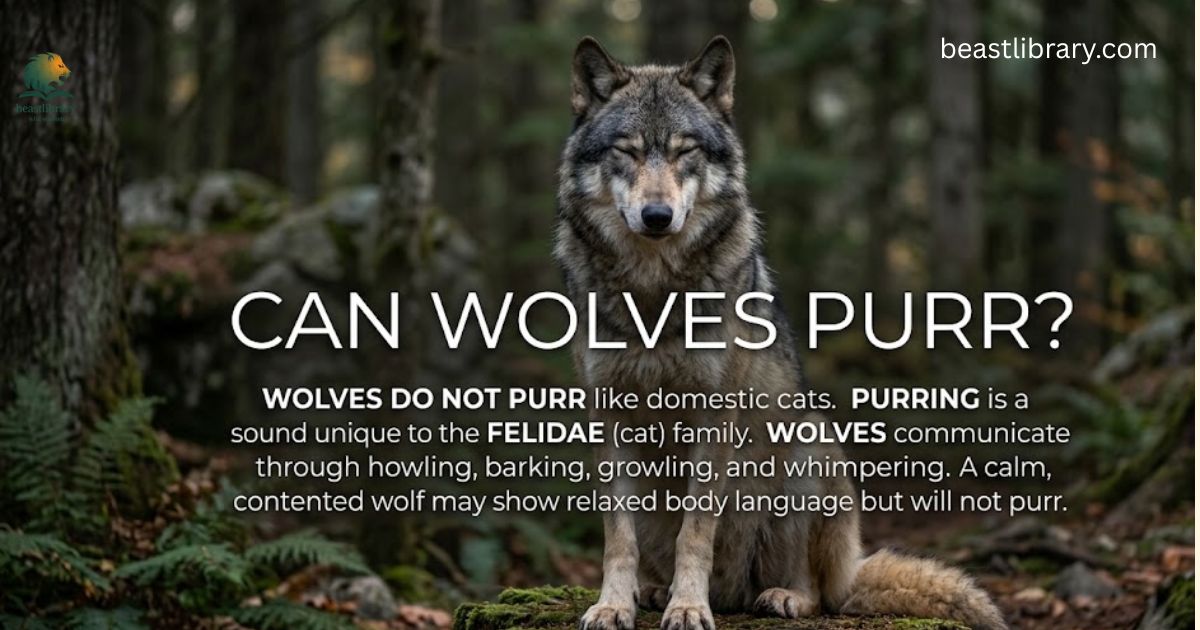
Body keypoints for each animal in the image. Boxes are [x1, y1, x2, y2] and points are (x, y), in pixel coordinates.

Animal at [553, 36, 1007, 630]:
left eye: (684, 151)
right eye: (626, 152)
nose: (657, 216)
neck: (652, 290)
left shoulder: (715, 412)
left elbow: (695, 533)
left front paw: (688, 607)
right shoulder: (605, 414)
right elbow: (616, 539)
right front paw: (612, 605)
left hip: (811, 450)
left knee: (819, 593)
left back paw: (777, 597)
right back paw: (653, 592)